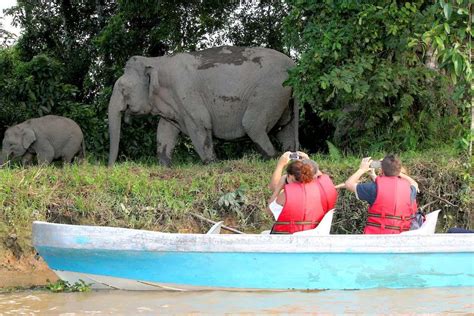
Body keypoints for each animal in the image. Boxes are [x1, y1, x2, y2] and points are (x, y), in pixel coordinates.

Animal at [109, 46, 298, 168]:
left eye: (123, 89)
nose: (111, 168)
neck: (156, 61)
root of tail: (294, 66)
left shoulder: (185, 92)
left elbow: (200, 125)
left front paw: (212, 164)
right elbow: (165, 130)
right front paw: (165, 166)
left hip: (270, 91)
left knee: (253, 125)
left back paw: (272, 159)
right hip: (282, 96)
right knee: (285, 128)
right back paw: (290, 156)